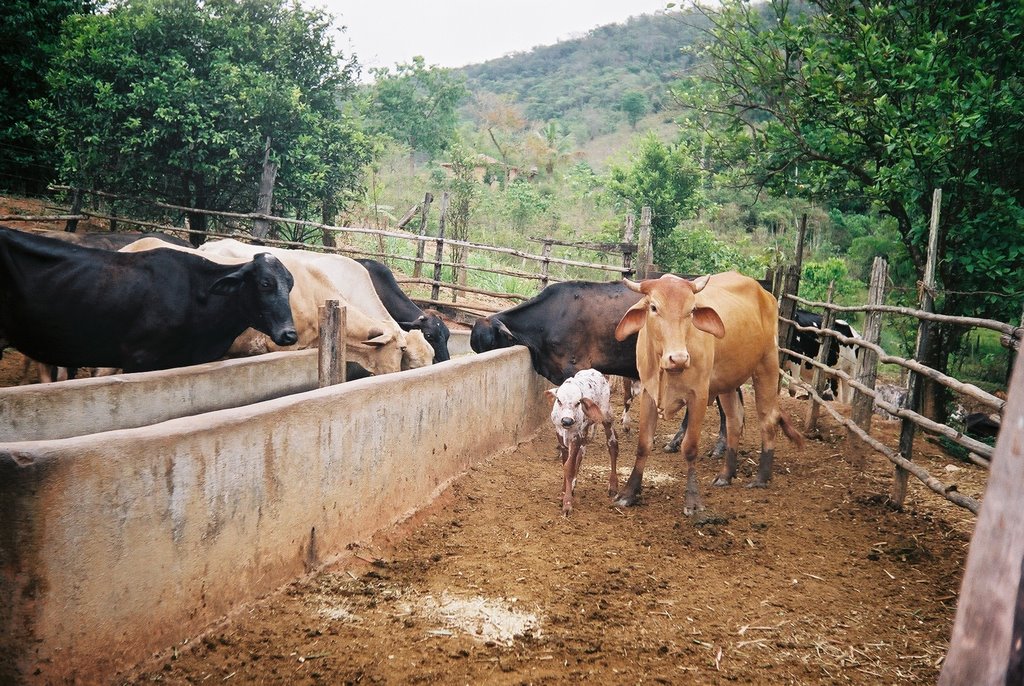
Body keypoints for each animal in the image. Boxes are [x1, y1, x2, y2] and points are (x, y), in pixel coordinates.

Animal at [544, 370, 614, 516]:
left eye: (578, 403)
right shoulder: (561, 436)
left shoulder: (576, 437)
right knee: (582, 453)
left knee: (613, 445)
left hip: (606, 417)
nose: (566, 420)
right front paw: (565, 491)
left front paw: (567, 503)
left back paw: (613, 486)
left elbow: (569, 468)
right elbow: (566, 464)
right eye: (559, 400)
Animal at [610, 272, 802, 516]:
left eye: (692, 310)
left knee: (768, 420)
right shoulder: (648, 392)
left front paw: (693, 501)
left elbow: (690, 448)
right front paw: (628, 493)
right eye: (653, 307)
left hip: (767, 364)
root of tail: (765, 293)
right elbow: (643, 444)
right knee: (734, 421)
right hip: (728, 383)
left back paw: (761, 478)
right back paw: (726, 474)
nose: (679, 358)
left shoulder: (699, 396)